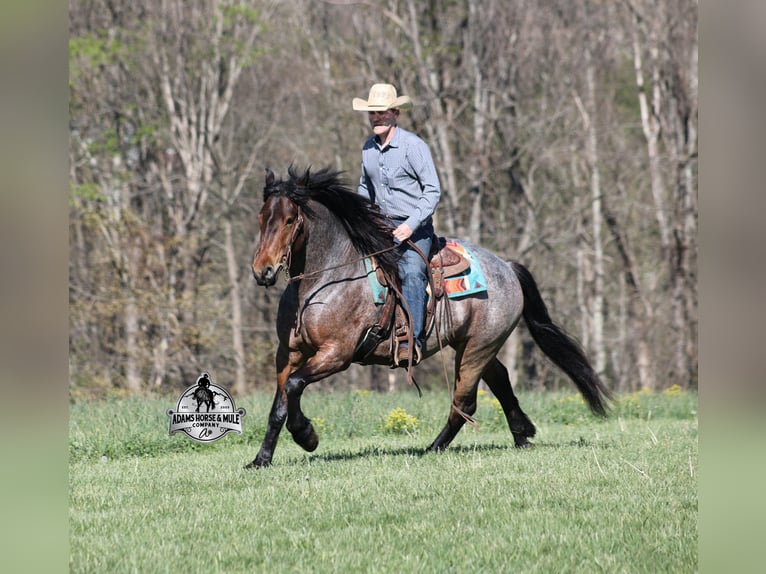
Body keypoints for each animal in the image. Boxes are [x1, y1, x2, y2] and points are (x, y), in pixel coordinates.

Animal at [247, 166, 612, 468]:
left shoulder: (337, 354)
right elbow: (279, 404)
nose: (262, 271)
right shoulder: (288, 353)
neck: (325, 279)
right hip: (476, 346)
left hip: (477, 349)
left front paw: (307, 435)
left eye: (290, 220)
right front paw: (261, 459)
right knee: (500, 382)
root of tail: (507, 267)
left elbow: (294, 386)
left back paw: (434, 448)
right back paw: (522, 435)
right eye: (262, 217)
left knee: (465, 401)